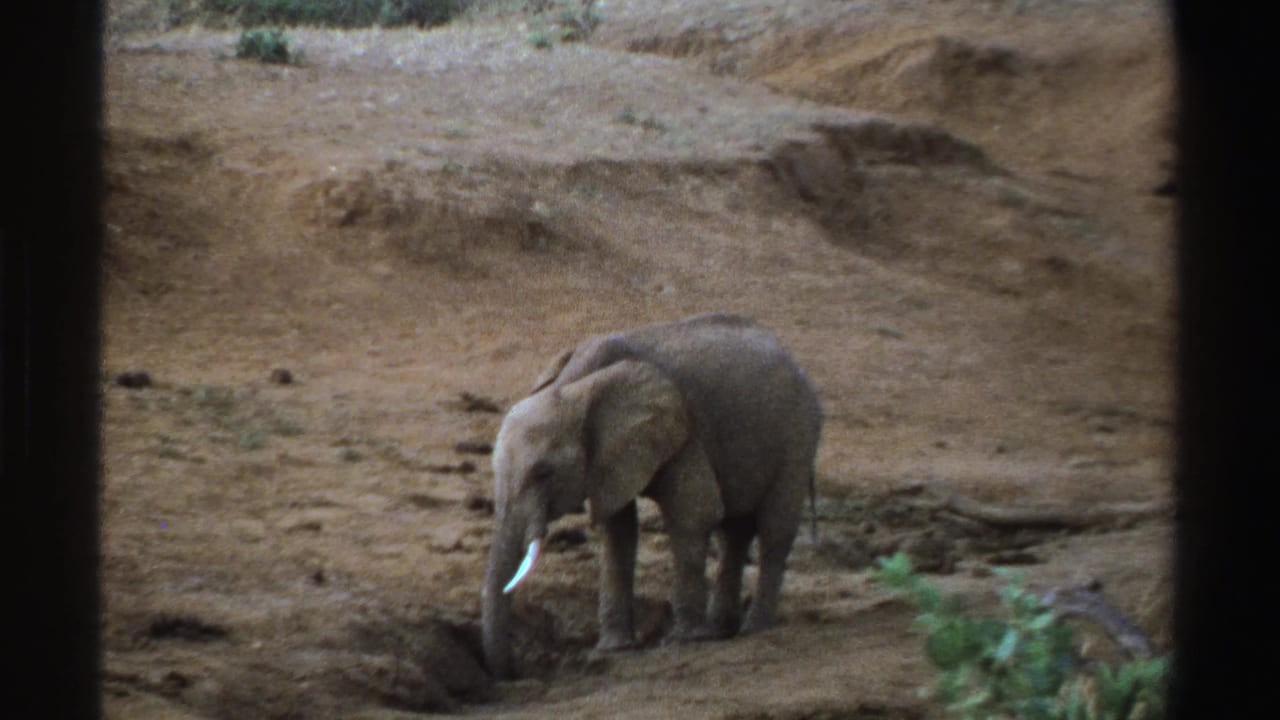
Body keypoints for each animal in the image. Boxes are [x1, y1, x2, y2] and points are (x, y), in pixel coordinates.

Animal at [480, 312, 822, 679]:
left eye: (544, 473)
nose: (512, 671)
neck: (573, 386)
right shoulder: (610, 456)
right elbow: (618, 529)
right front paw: (615, 648)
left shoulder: (684, 432)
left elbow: (694, 513)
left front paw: (684, 640)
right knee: (735, 531)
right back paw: (721, 630)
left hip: (798, 437)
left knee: (774, 529)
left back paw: (754, 629)